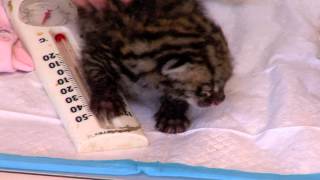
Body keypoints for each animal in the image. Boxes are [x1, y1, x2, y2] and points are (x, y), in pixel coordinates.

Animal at [77, 0, 232, 132]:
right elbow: (99, 72)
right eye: (207, 90)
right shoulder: (101, 48)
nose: (221, 99)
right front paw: (107, 102)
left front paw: (172, 115)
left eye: (226, 82)